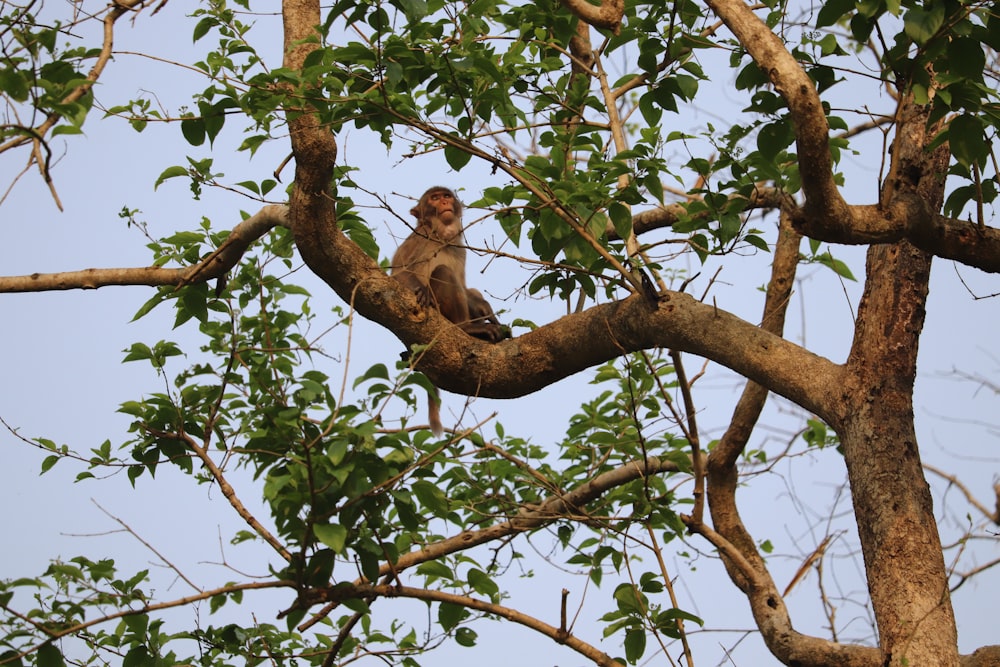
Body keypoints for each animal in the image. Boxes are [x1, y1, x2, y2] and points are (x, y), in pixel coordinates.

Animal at [390, 189, 508, 438]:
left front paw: (487, 310)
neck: (441, 238)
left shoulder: (459, 249)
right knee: (443, 272)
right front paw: (421, 290)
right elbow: (398, 274)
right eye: (434, 198)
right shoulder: (420, 238)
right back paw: (468, 328)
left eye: (446, 196)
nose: (444, 202)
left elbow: (465, 288)